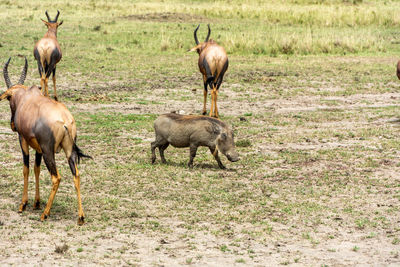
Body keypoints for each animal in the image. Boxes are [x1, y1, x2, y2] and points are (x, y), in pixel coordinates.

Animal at [0, 56, 90, 226]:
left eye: (8, 98)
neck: (26, 98)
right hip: (69, 152)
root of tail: (65, 121)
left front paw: (23, 204)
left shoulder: (24, 140)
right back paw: (81, 217)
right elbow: (37, 169)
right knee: (76, 175)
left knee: (56, 177)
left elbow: (26, 168)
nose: (12, 125)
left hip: (49, 152)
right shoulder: (38, 148)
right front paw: (36, 202)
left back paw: (45, 214)